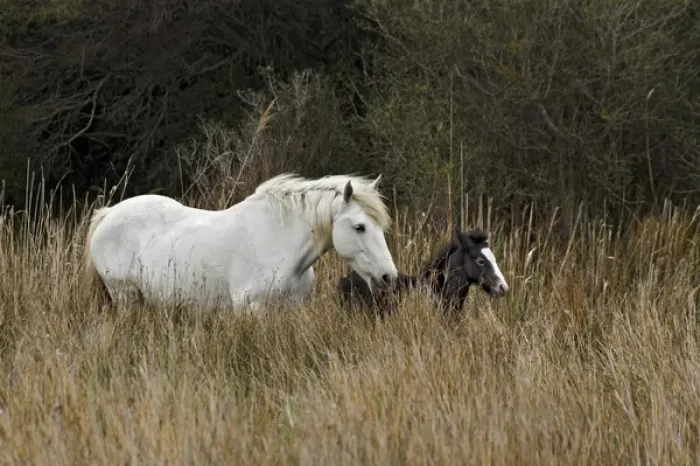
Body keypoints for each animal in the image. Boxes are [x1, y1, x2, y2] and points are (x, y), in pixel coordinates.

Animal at [84, 173, 399, 312]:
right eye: (359, 227)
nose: (389, 277)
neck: (279, 240)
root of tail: (109, 213)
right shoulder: (252, 309)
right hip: (124, 295)